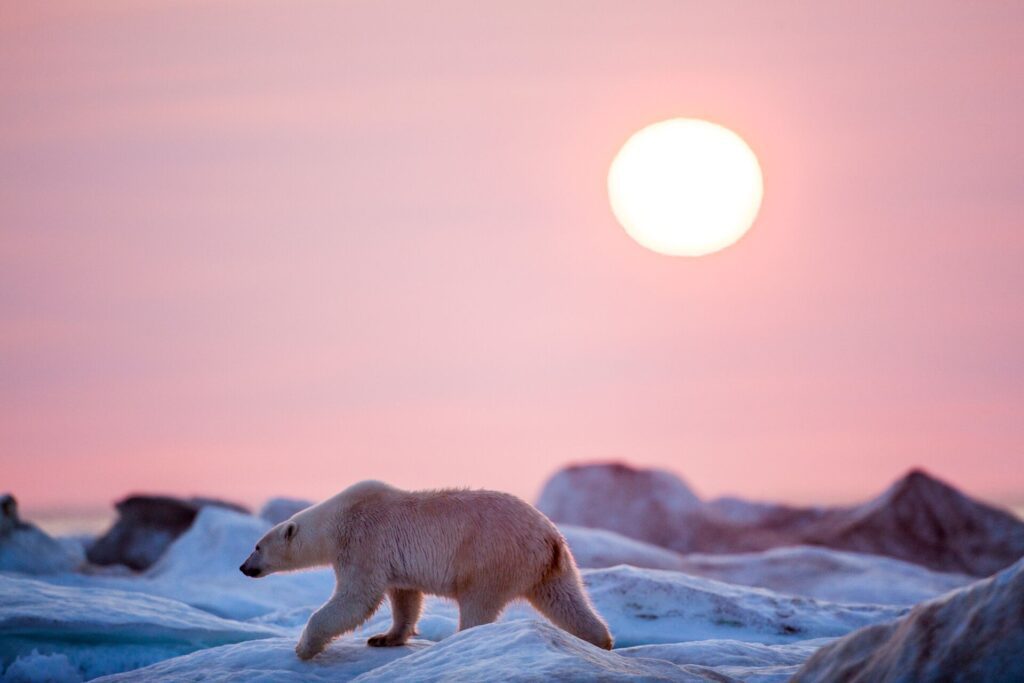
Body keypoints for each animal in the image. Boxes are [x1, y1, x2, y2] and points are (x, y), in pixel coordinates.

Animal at [239, 480, 613, 659]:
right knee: (566, 600)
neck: (338, 519)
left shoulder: (364, 542)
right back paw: (602, 642)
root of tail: (550, 537)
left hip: (491, 557)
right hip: (551, 568)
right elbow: (405, 598)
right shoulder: (391, 560)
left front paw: (303, 647)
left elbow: (355, 599)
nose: (243, 567)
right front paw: (384, 638)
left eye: (257, 546)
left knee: (478, 602)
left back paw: (462, 639)